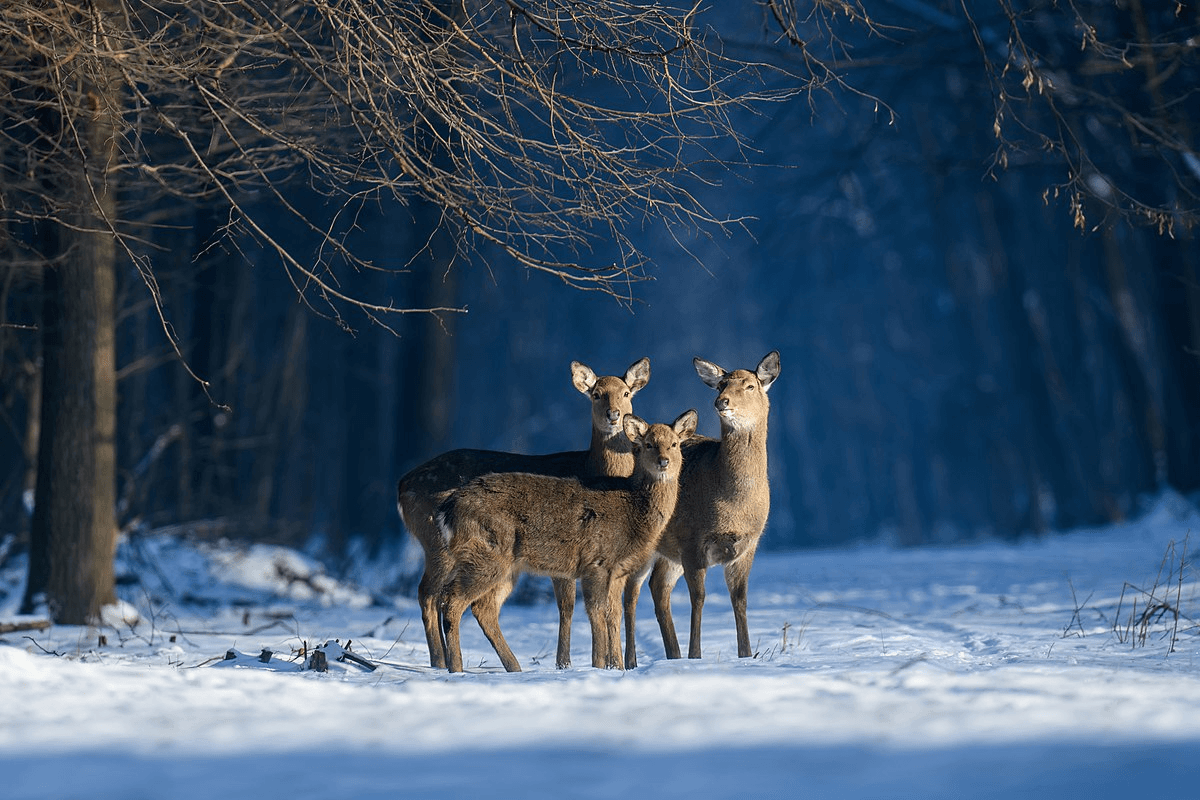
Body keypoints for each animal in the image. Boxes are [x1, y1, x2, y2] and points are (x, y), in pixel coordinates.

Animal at [398, 357, 652, 671]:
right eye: (596, 394)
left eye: (626, 393)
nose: (614, 414)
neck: (593, 469)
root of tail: (402, 485)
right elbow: (569, 605)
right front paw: (566, 663)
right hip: (437, 542)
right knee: (429, 593)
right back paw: (440, 661)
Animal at [436, 410, 700, 671]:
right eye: (648, 444)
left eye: (674, 444)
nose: (663, 461)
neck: (632, 511)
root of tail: (448, 510)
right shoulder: (596, 562)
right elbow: (597, 613)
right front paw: (599, 665)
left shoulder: (618, 571)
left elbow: (613, 615)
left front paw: (617, 667)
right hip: (486, 554)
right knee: (452, 601)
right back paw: (457, 668)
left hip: (507, 567)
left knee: (484, 608)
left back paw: (514, 668)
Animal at [624, 350, 782, 671]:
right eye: (721, 384)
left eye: (750, 386)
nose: (722, 402)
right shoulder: (692, 540)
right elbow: (699, 598)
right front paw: (695, 655)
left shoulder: (748, 545)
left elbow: (740, 599)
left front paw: (746, 654)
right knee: (630, 593)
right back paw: (631, 661)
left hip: (668, 552)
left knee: (658, 588)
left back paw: (672, 654)